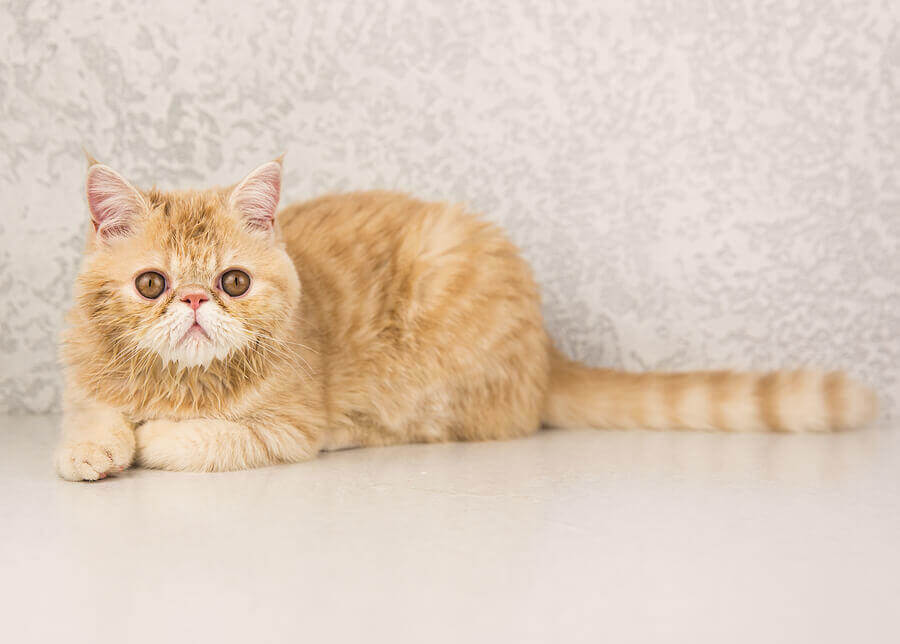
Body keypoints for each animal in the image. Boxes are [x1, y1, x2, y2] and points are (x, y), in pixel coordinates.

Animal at [52, 156, 876, 478]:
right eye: (153, 284)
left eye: (233, 281)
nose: (194, 302)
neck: (179, 381)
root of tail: (546, 352)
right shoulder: (85, 379)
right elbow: (93, 411)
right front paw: (92, 447)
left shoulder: (287, 428)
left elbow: (203, 437)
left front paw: (154, 437)